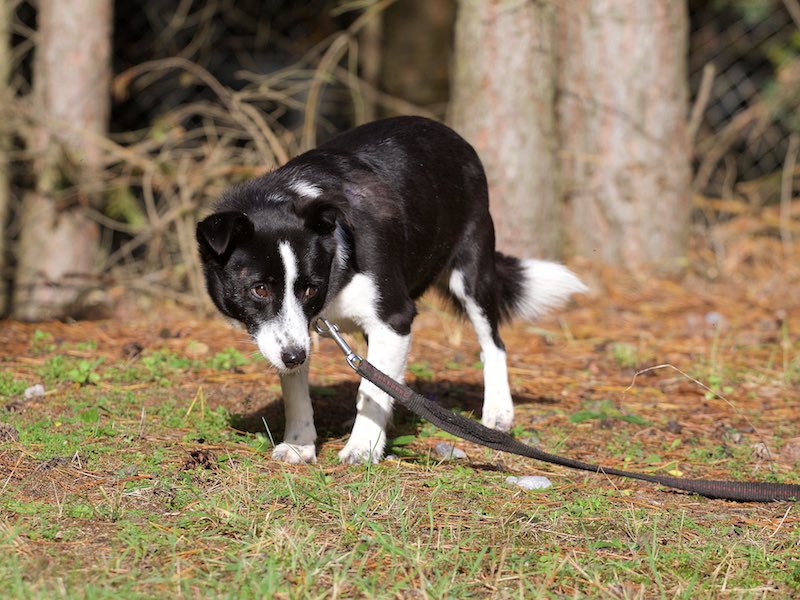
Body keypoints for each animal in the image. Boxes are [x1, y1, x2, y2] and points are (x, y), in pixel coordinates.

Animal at [196, 116, 586, 464]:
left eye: (311, 288)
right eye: (260, 289)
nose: (295, 357)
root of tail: (446, 131)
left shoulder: (394, 317)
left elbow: (370, 390)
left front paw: (362, 448)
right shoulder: (298, 333)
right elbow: (298, 389)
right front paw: (299, 444)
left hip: (472, 268)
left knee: (493, 343)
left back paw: (498, 412)